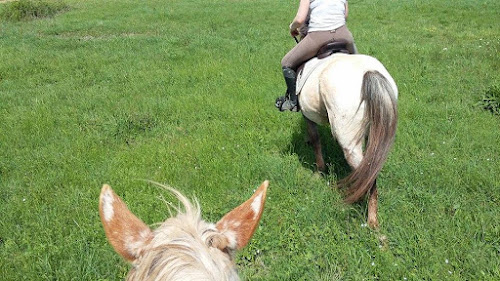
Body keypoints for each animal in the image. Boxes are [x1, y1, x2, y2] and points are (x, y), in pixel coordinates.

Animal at [296, 52, 398, 228]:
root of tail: (369, 72)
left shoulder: (307, 114)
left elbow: (316, 140)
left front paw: (319, 170)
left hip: (350, 144)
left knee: (368, 177)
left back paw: (370, 219)